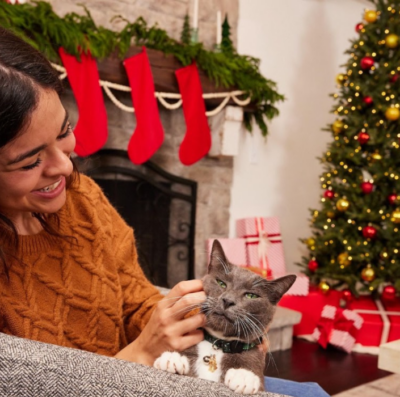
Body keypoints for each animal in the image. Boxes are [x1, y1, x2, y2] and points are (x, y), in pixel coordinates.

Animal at [155, 238, 296, 392]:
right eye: (221, 283)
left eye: (251, 295)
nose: (228, 300)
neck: (219, 345)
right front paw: (173, 359)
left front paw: (243, 376)